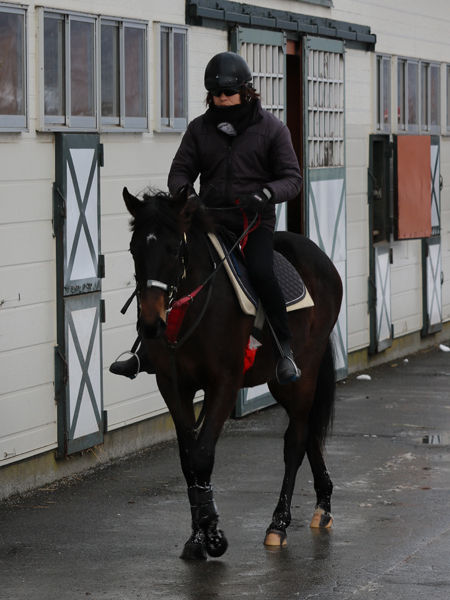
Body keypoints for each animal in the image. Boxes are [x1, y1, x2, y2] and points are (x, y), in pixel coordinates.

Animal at [122, 186, 342, 556]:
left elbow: (202, 456)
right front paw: (198, 535)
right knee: (310, 433)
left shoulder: (223, 383)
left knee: (296, 441)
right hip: (278, 381)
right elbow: (188, 460)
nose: (150, 324)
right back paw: (323, 506)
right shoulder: (174, 386)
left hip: (304, 373)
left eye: (174, 249)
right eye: (134, 248)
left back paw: (278, 524)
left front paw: (212, 535)